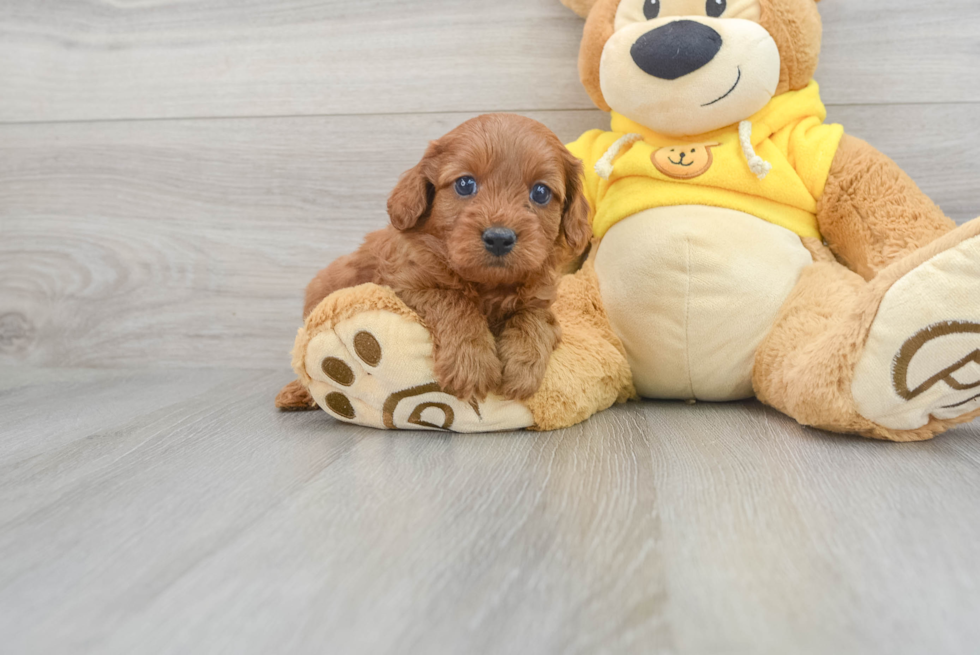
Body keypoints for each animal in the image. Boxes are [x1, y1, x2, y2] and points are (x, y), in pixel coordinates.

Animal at [276, 113, 588, 410]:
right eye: (465, 184)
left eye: (541, 192)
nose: (499, 238)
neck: (486, 284)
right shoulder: (406, 283)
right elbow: (454, 301)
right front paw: (471, 365)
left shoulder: (540, 295)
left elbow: (534, 317)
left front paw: (524, 367)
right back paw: (297, 393)